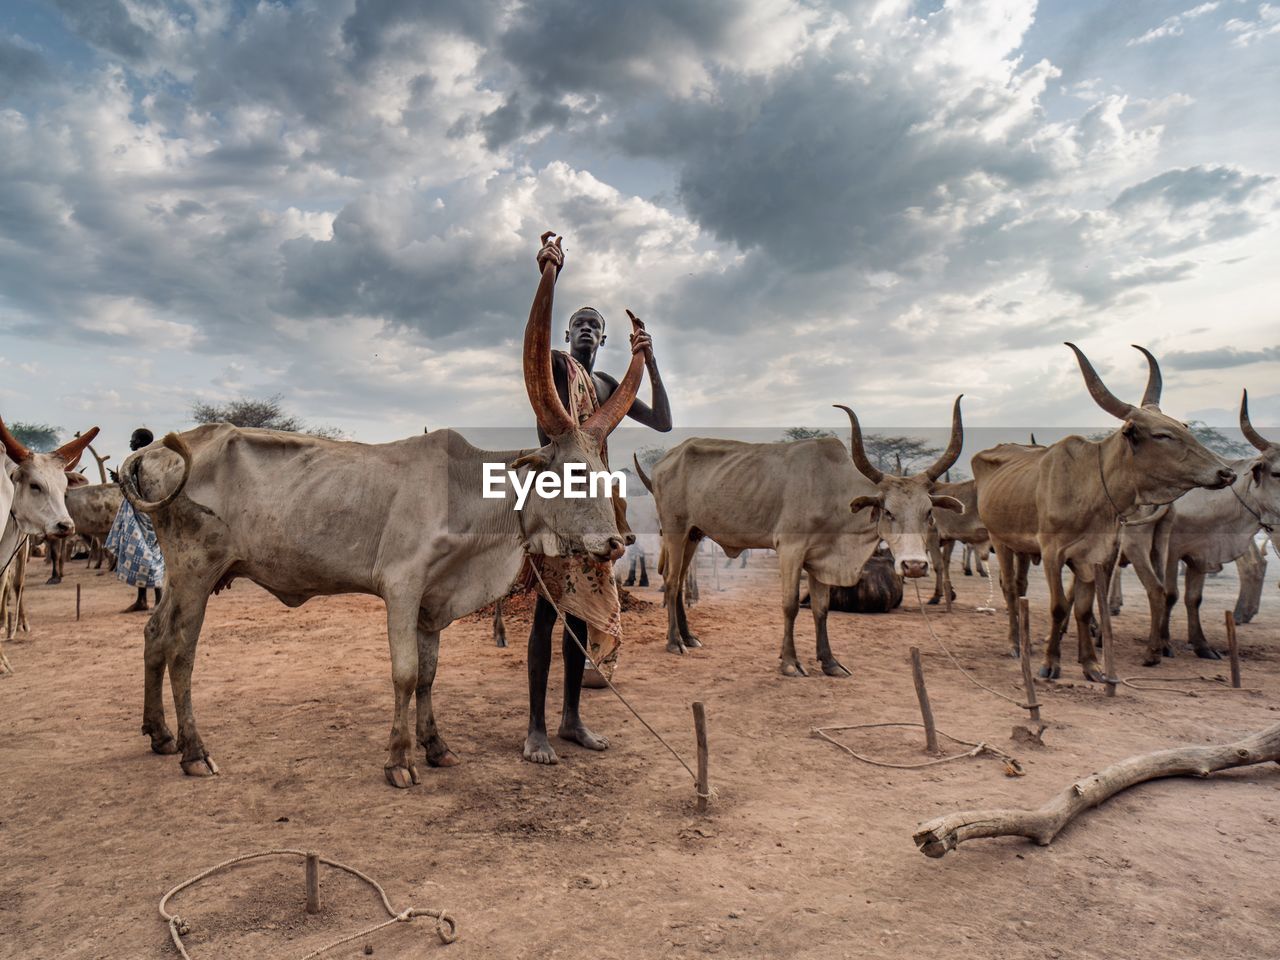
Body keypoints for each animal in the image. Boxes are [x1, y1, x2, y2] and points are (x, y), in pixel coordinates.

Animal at [117, 235, 640, 788]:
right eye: (574, 473)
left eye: (605, 475)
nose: (614, 544)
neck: (471, 494)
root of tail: (157, 449)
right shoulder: (402, 587)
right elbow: (405, 674)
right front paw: (398, 760)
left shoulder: (435, 600)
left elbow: (429, 674)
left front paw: (436, 747)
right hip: (195, 572)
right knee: (180, 650)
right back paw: (194, 751)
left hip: (182, 574)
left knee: (154, 635)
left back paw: (160, 735)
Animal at [634, 399, 962, 675]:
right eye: (888, 512)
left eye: (928, 512)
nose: (914, 566)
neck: (832, 490)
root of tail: (667, 459)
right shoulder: (790, 550)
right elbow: (790, 605)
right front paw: (790, 662)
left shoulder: (821, 559)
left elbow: (821, 609)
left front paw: (829, 662)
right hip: (675, 530)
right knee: (671, 581)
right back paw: (674, 642)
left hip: (693, 534)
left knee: (678, 582)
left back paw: (689, 637)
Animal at [972, 343, 1233, 680]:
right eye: (1162, 435)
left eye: (1184, 428)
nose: (1226, 472)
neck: (1092, 486)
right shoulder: (1053, 553)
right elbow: (1059, 605)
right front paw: (1050, 664)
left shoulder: (1098, 555)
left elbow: (1083, 608)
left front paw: (1090, 665)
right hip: (1000, 540)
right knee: (1011, 587)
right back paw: (1016, 644)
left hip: (1021, 547)